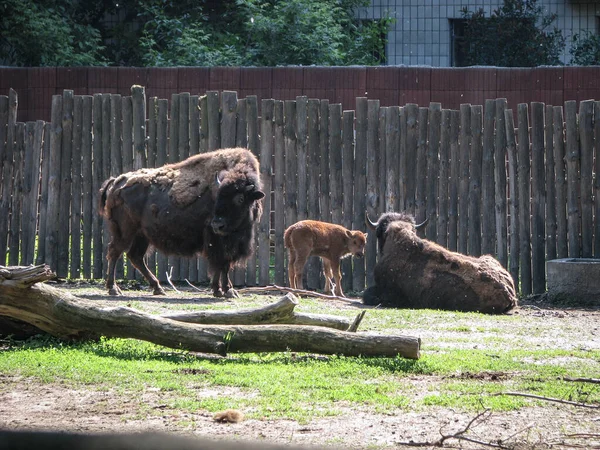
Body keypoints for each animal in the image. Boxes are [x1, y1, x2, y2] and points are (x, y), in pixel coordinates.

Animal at [99, 146, 264, 298]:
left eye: (240, 198)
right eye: (218, 196)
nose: (217, 225)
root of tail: (116, 182)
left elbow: (223, 265)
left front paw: (219, 290)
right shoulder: (219, 241)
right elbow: (223, 264)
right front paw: (228, 291)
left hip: (141, 235)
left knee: (136, 257)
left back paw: (158, 288)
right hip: (125, 232)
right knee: (115, 252)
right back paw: (114, 289)